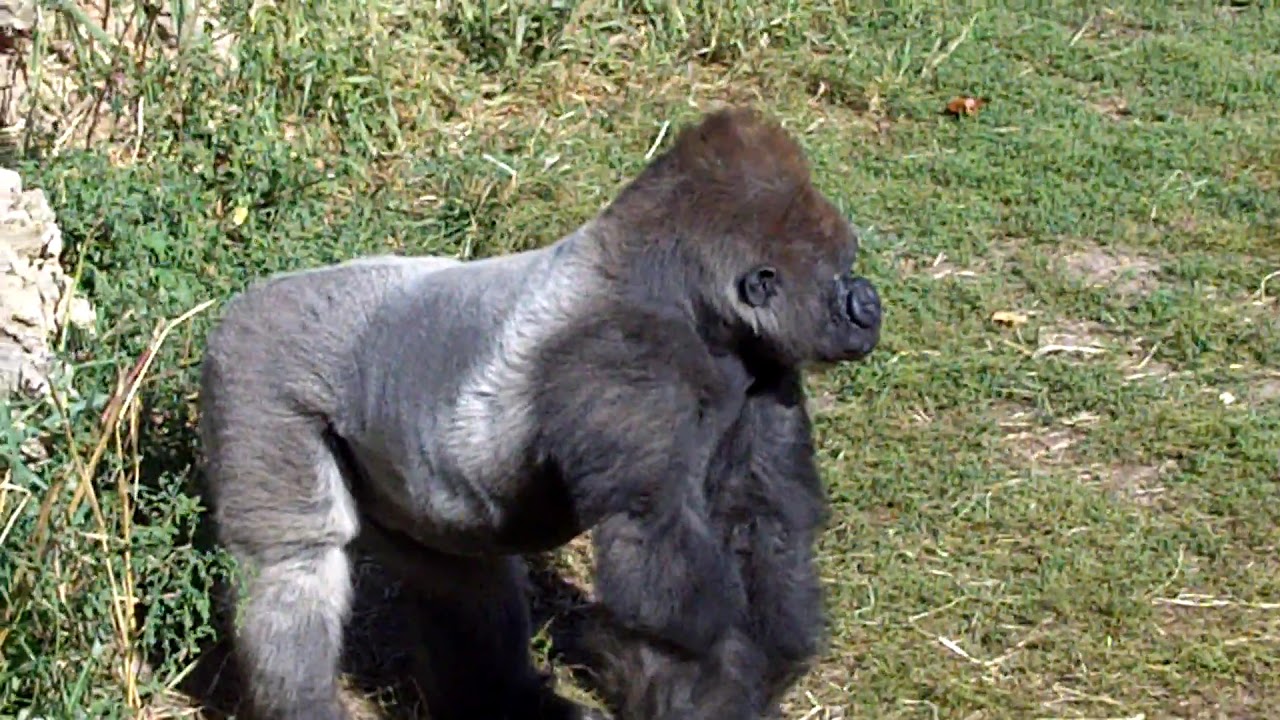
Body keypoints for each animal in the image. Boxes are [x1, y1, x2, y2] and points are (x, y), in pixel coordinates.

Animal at [197, 106, 883, 720]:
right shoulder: (628, 364)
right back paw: (304, 702)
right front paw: (714, 689)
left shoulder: (767, 372)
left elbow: (764, 524)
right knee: (296, 563)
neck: (687, 299)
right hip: (257, 371)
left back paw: (505, 702)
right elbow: (660, 568)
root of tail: (239, 305)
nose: (869, 304)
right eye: (840, 275)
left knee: (460, 578)